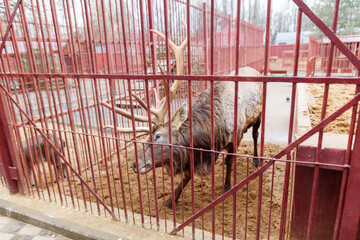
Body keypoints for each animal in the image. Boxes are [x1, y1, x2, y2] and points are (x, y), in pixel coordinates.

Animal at [101, 20, 262, 208]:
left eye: (158, 136)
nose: (135, 165)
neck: (214, 129)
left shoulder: (234, 136)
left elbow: (230, 162)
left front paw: (226, 187)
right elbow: (187, 175)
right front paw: (170, 200)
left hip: (259, 116)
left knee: (256, 134)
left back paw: (256, 159)